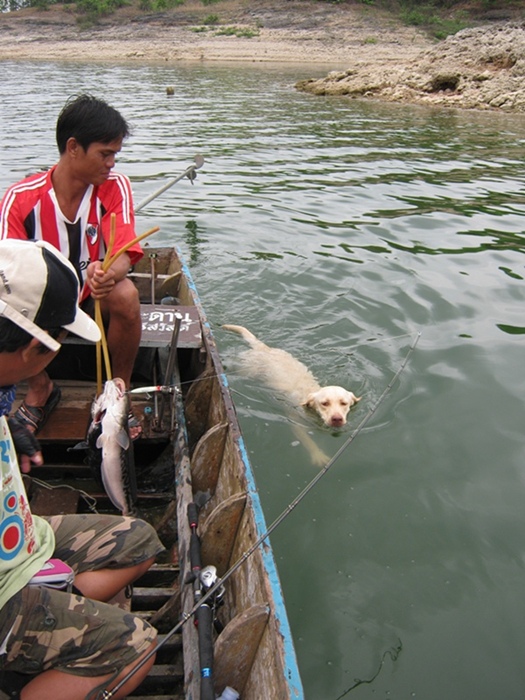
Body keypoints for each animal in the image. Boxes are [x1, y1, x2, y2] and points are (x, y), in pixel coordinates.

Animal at [221, 326, 360, 430]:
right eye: (324, 403)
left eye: (344, 403)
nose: (337, 419)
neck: (309, 392)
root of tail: (265, 348)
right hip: (245, 367)